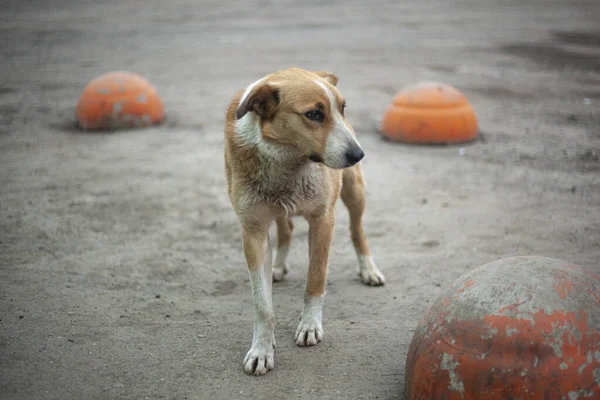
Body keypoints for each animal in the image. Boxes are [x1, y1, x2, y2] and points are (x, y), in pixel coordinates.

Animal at [224, 66, 384, 376]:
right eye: (314, 114)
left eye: (342, 109)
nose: (359, 154)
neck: (286, 160)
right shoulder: (253, 230)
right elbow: (262, 304)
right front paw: (262, 349)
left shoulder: (323, 221)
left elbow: (315, 279)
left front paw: (309, 325)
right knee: (286, 227)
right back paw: (278, 265)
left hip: (353, 191)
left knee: (357, 230)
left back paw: (368, 269)